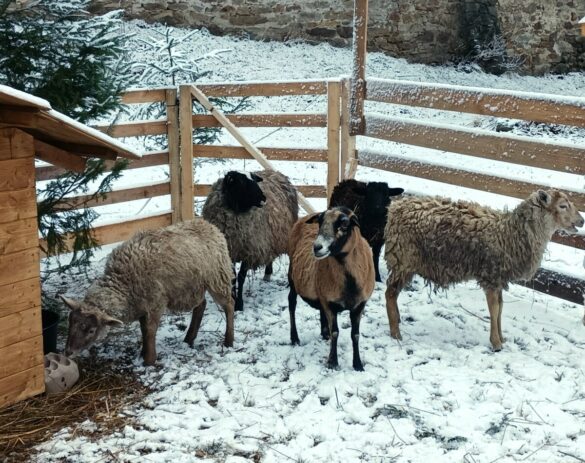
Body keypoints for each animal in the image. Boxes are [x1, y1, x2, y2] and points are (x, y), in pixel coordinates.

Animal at [60, 219, 233, 368]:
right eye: (70, 323)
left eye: (91, 330)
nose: (68, 352)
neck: (125, 284)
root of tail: (207, 224)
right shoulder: (142, 305)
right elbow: (144, 330)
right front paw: (142, 353)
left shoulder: (155, 303)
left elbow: (150, 331)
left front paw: (149, 360)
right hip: (192, 286)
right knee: (201, 305)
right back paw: (189, 339)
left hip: (217, 276)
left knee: (229, 305)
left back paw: (229, 341)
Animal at [203, 170, 298, 312]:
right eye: (242, 182)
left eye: (253, 180)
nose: (264, 199)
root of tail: (277, 173)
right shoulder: (230, 250)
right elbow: (233, 277)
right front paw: (233, 300)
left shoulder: (249, 251)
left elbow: (241, 277)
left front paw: (239, 304)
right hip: (269, 238)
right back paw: (267, 274)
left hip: (285, 233)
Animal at [286, 208, 374, 372]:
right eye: (320, 222)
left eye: (344, 224)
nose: (317, 247)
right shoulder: (329, 303)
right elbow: (335, 332)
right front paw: (332, 362)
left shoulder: (360, 305)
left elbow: (355, 335)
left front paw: (358, 364)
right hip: (292, 276)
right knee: (291, 303)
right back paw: (294, 338)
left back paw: (323, 333)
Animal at [384, 188, 584, 352]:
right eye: (563, 205)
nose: (581, 221)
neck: (510, 234)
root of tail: (395, 208)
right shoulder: (491, 276)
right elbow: (494, 310)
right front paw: (496, 343)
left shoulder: (499, 278)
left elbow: (501, 309)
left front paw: (502, 338)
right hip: (403, 257)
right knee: (390, 293)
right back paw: (395, 332)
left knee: (393, 293)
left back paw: (398, 321)